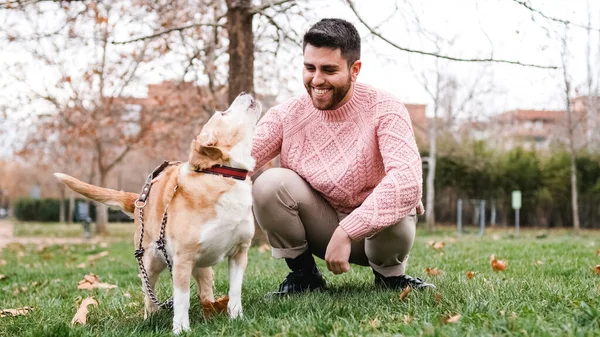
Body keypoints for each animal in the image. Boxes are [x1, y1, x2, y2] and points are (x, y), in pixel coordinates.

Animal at [55, 92, 260, 334]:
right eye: (223, 113)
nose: (243, 93)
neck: (222, 175)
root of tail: (138, 199)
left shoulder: (239, 253)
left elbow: (235, 291)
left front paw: (236, 318)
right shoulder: (182, 260)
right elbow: (182, 299)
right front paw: (181, 329)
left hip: (203, 267)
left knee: (205, 290)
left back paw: (209, 311)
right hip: (150, 263)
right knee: (149, 295)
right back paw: (151, 318)